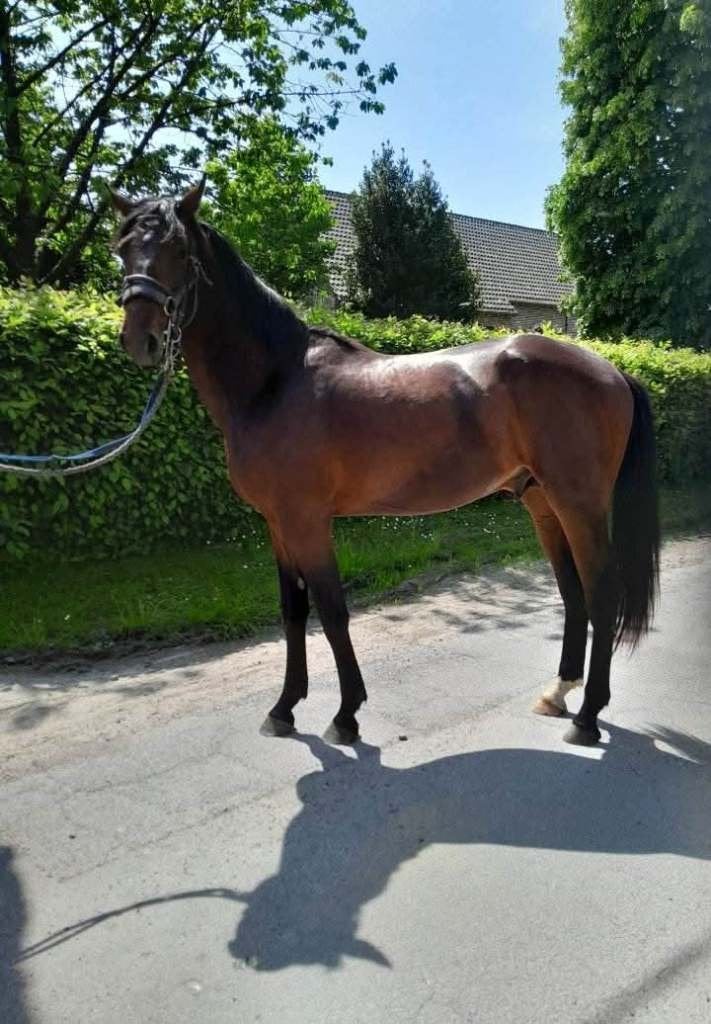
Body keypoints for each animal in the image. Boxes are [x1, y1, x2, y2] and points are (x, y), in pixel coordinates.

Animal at [110, 179, 660, 748]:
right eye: (121, 248)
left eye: (179, 250)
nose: (139, 339)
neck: (275, 381)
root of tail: (613, 371)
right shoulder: (278, 524)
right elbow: (292, 610)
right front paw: (284, 708)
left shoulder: (307, 522)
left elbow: (331, 611)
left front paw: (346, 713)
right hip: (542, 502)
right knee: (573, 592)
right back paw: (559, 693)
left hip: (579, 502)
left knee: (601, 593)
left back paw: (588, 716)